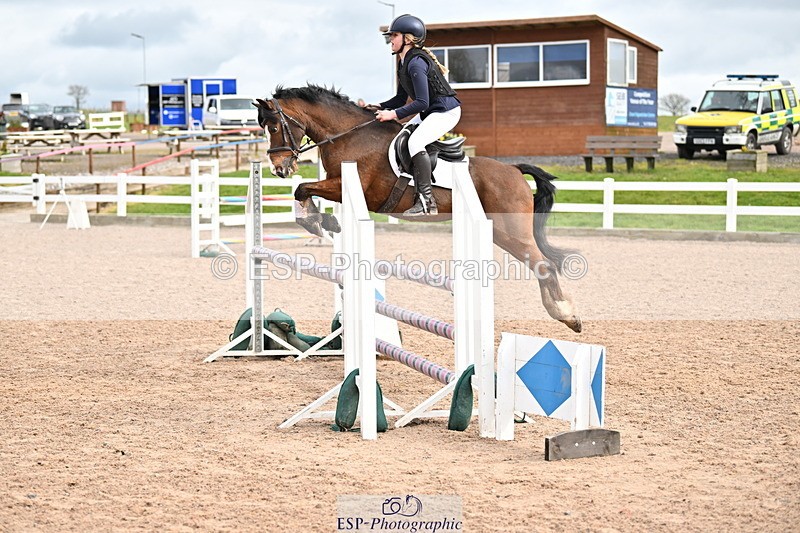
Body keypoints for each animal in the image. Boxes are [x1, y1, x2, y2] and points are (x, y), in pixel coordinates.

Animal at [254, 85, 581, 333]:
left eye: (274, 127)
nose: (279, 169)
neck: (349, 135)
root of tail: (513, 169)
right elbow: (306, 191)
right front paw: (324, 222)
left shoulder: (348, 185)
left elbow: (303, 188)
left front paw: (314, 221)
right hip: (500, 234)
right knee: (539, 266)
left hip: (511, 232)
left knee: (544, 265)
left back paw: (567, 315)